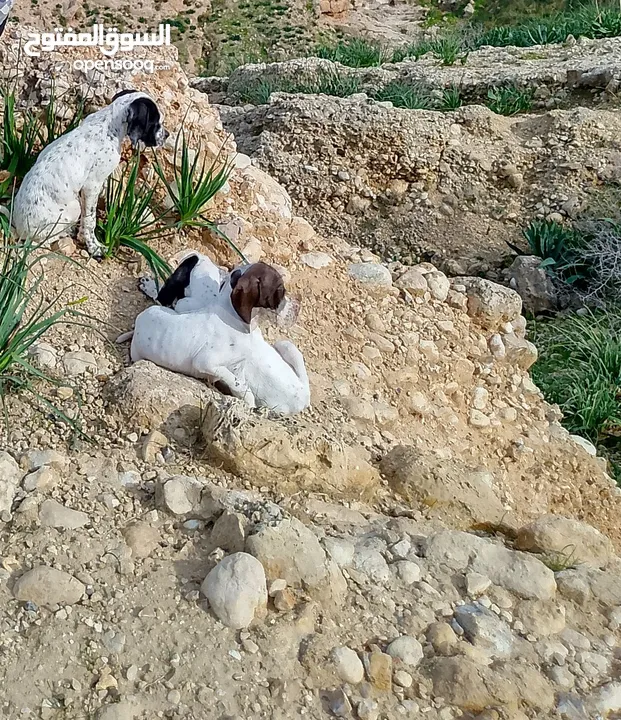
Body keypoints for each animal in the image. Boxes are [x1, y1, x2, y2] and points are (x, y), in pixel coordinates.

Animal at [14, 89, 168, 258]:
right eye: (155, 122)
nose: (166, 135)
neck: (107, 123)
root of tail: (19, 229)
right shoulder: (92, 185)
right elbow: (90, 220)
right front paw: (94, 247)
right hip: (73, 207)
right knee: (43, 241)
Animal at [125, 255, 310, 416]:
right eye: (280, 288)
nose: (288, 306)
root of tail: (302, 399)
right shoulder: (207, 361)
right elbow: (239, 385)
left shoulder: (235, 365)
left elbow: (240, 385)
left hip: (285, 346)